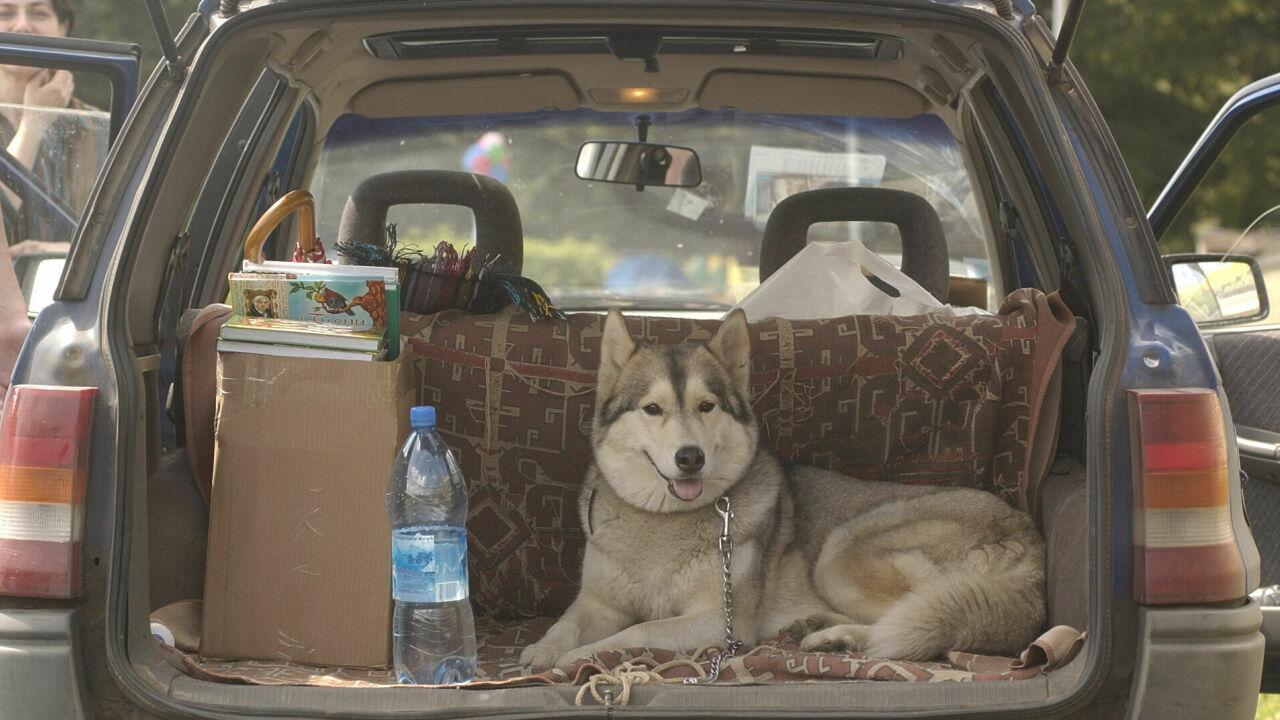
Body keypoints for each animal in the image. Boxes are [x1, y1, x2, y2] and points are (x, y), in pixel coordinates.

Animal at [514, 304, 1044, 666]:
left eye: (706, 406)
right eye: (652, 409)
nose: (690, 458)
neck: (663, 522)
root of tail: (1027, 532)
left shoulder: (721, 620)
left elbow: (635, 632)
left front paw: (580, 659)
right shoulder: (597, 602)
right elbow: (566, 624)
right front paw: (541, 652)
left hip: (841, 552)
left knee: (908, 623)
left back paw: (839, 637)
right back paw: (822, 627)